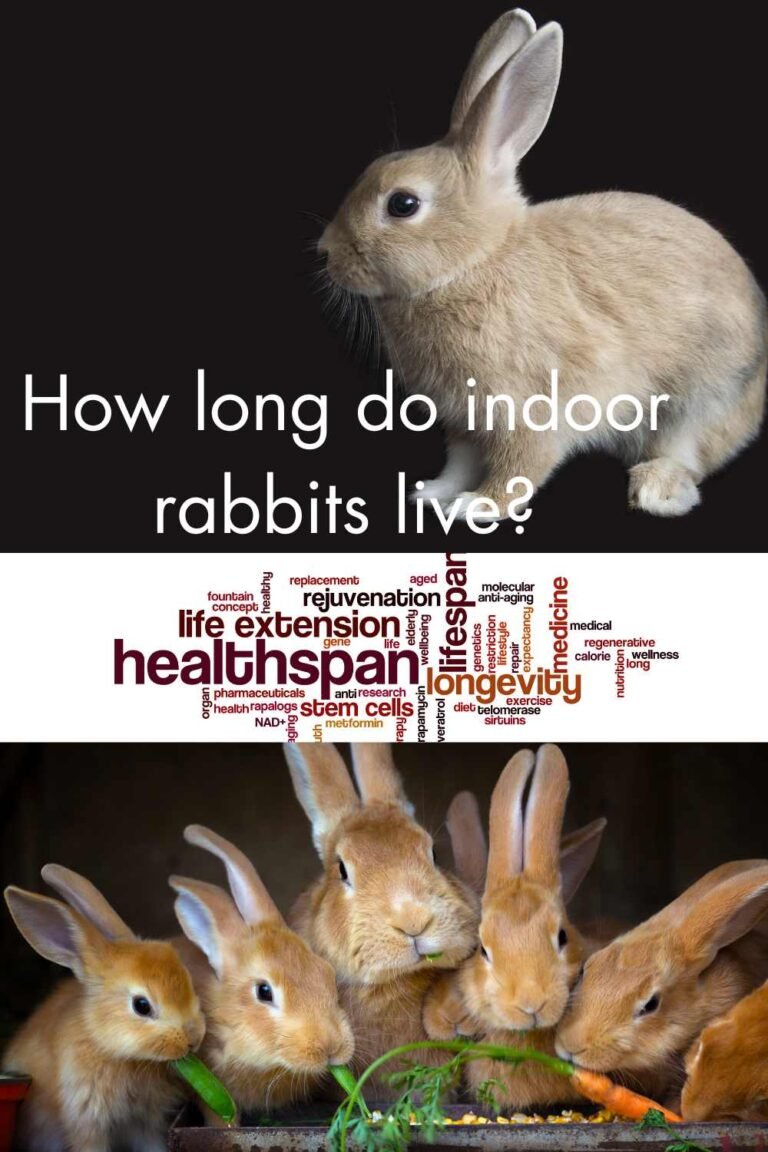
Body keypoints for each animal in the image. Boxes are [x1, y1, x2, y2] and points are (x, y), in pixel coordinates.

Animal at [319, 8, 767, 519]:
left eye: (403, 204)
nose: (326, 253)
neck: (475, 262)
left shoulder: (531, 408)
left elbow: (520, 466)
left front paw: (477, 505)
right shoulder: (464, 420)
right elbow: (459, 461)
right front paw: (432, 493)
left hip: (698, 404)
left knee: (688, 456)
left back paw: (656, 489)